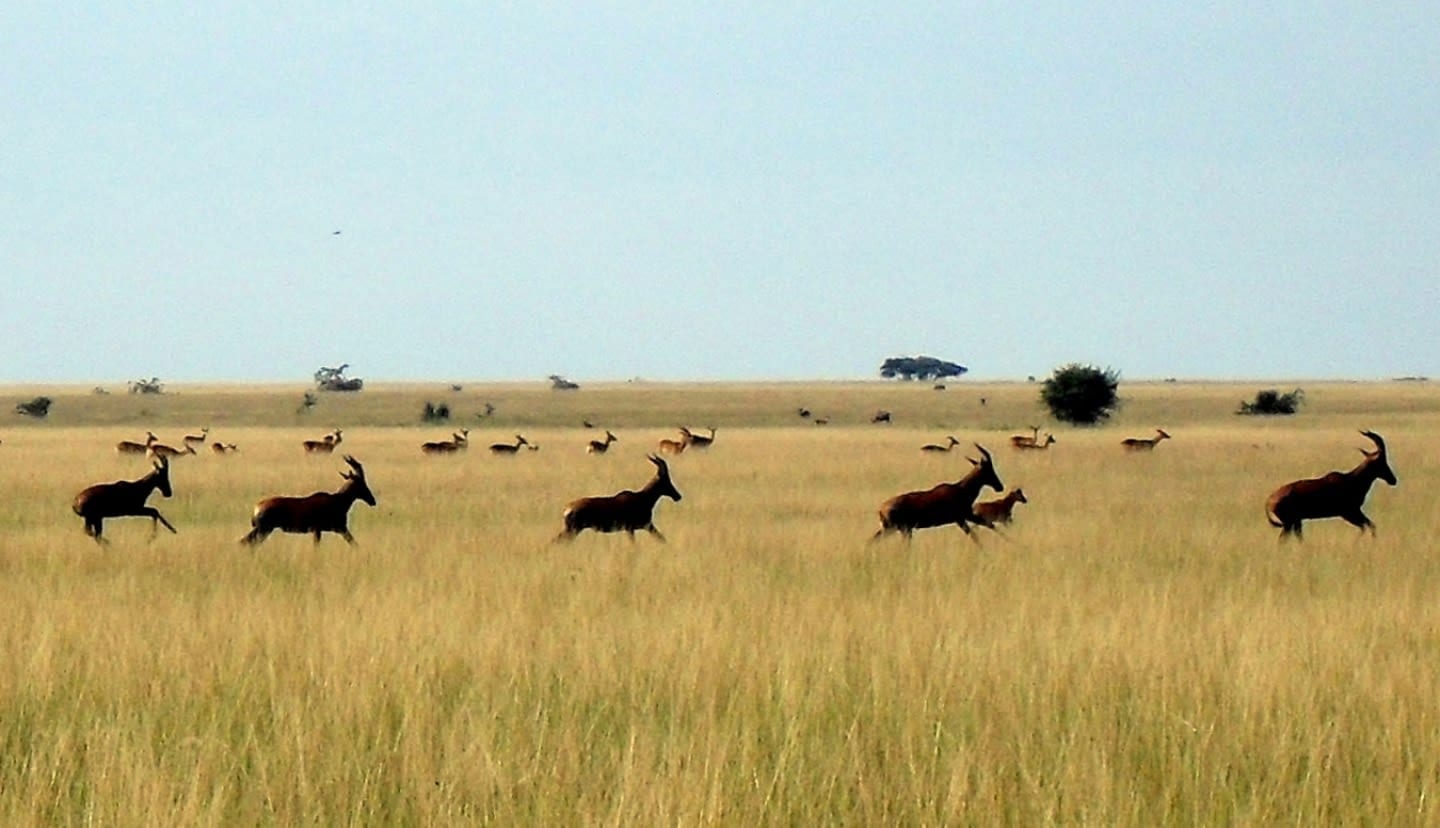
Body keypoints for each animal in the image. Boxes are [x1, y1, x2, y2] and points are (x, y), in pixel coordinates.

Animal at [241, 455, 376, 547]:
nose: (373, 501)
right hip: (264, 530)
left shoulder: (338, 530)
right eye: (361, 483)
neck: (337, 500)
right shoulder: (323, 530)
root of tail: (256, 508)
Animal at [870, 444, 1003, 543]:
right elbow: (978, 535)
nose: (1000, 487)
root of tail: (881, 509)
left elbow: (989, 525)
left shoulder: (968, 516)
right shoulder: (961, 519)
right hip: (899, 530)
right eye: (989, 469)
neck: (960, 488)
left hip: (893, 529)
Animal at [1265, 431, 1396, 540]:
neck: (1351, 479)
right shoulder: (1349, 513)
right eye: (1382, 461)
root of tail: (1269, 500)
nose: (1393, 480)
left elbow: (1369, 526)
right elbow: (1367, 526)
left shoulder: (1354, 512)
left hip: (1296, 521)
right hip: (1289, 523)